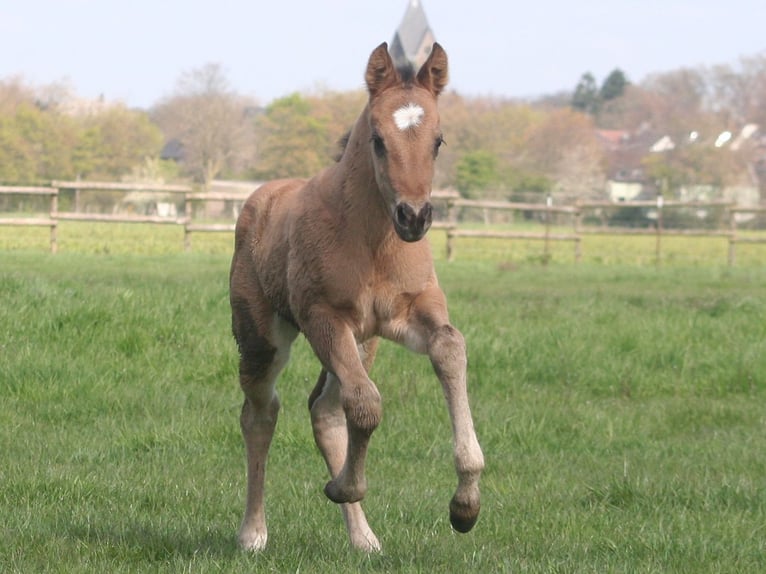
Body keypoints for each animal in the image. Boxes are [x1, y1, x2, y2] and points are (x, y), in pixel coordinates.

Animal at [229, 41, 484, 552]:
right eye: (378, 139)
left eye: (438, 141)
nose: (414, 217)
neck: (373, 241)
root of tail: (260, 200)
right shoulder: (324, 318)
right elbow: (366, 406)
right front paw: (341, 487)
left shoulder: (412, 313)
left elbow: (450, 349)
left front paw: (465, 506)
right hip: (263, 339)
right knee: (261, 414)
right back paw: (253, 532)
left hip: (364, 342)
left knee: (325, 411)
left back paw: (364, 538)